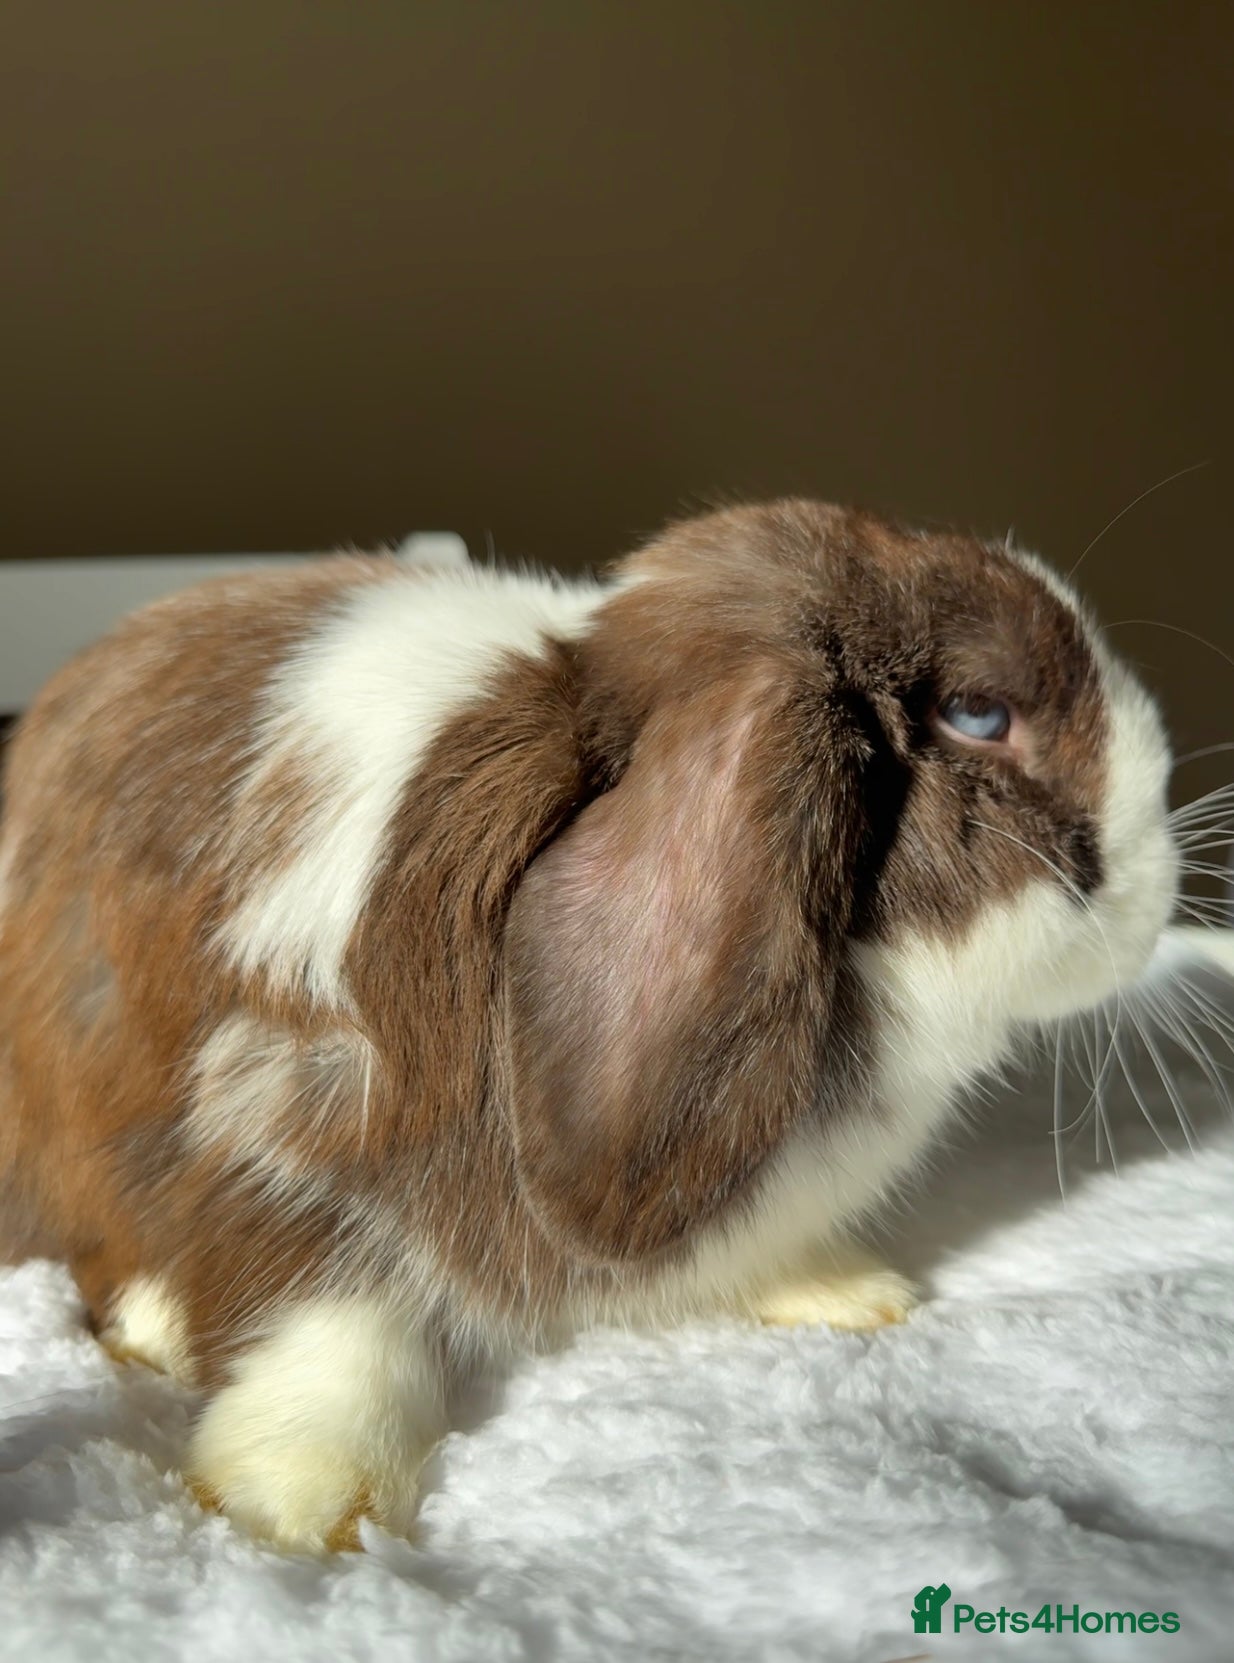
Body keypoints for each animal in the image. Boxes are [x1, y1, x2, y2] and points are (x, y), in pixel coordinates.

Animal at [0, 499, 1179, 1550]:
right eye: (978, 715)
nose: (1162, 876)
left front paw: (847, 1291)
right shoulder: (273, 1119)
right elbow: (325, 1317)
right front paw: (297, 1499)